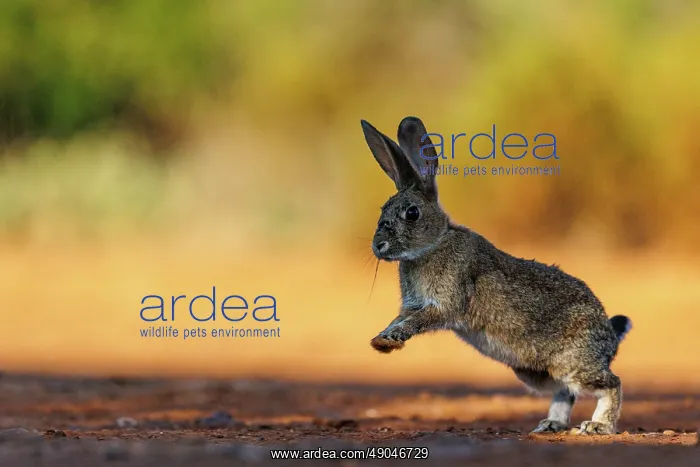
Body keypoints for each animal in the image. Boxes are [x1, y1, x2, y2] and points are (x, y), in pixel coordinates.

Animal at [360, 116, 632, 435]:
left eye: (412, 213)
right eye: (383, 210)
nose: (378, 246)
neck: (435, 243)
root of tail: (610, 336)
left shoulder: (446, 302)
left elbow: (419, 320)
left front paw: (389, 339)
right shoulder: (412, 305)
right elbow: (400, 318)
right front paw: (381, 340)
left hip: (573, 363)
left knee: (611, 384)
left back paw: (598, 426)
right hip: (533, 372)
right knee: (565, 391)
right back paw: (551, 424)